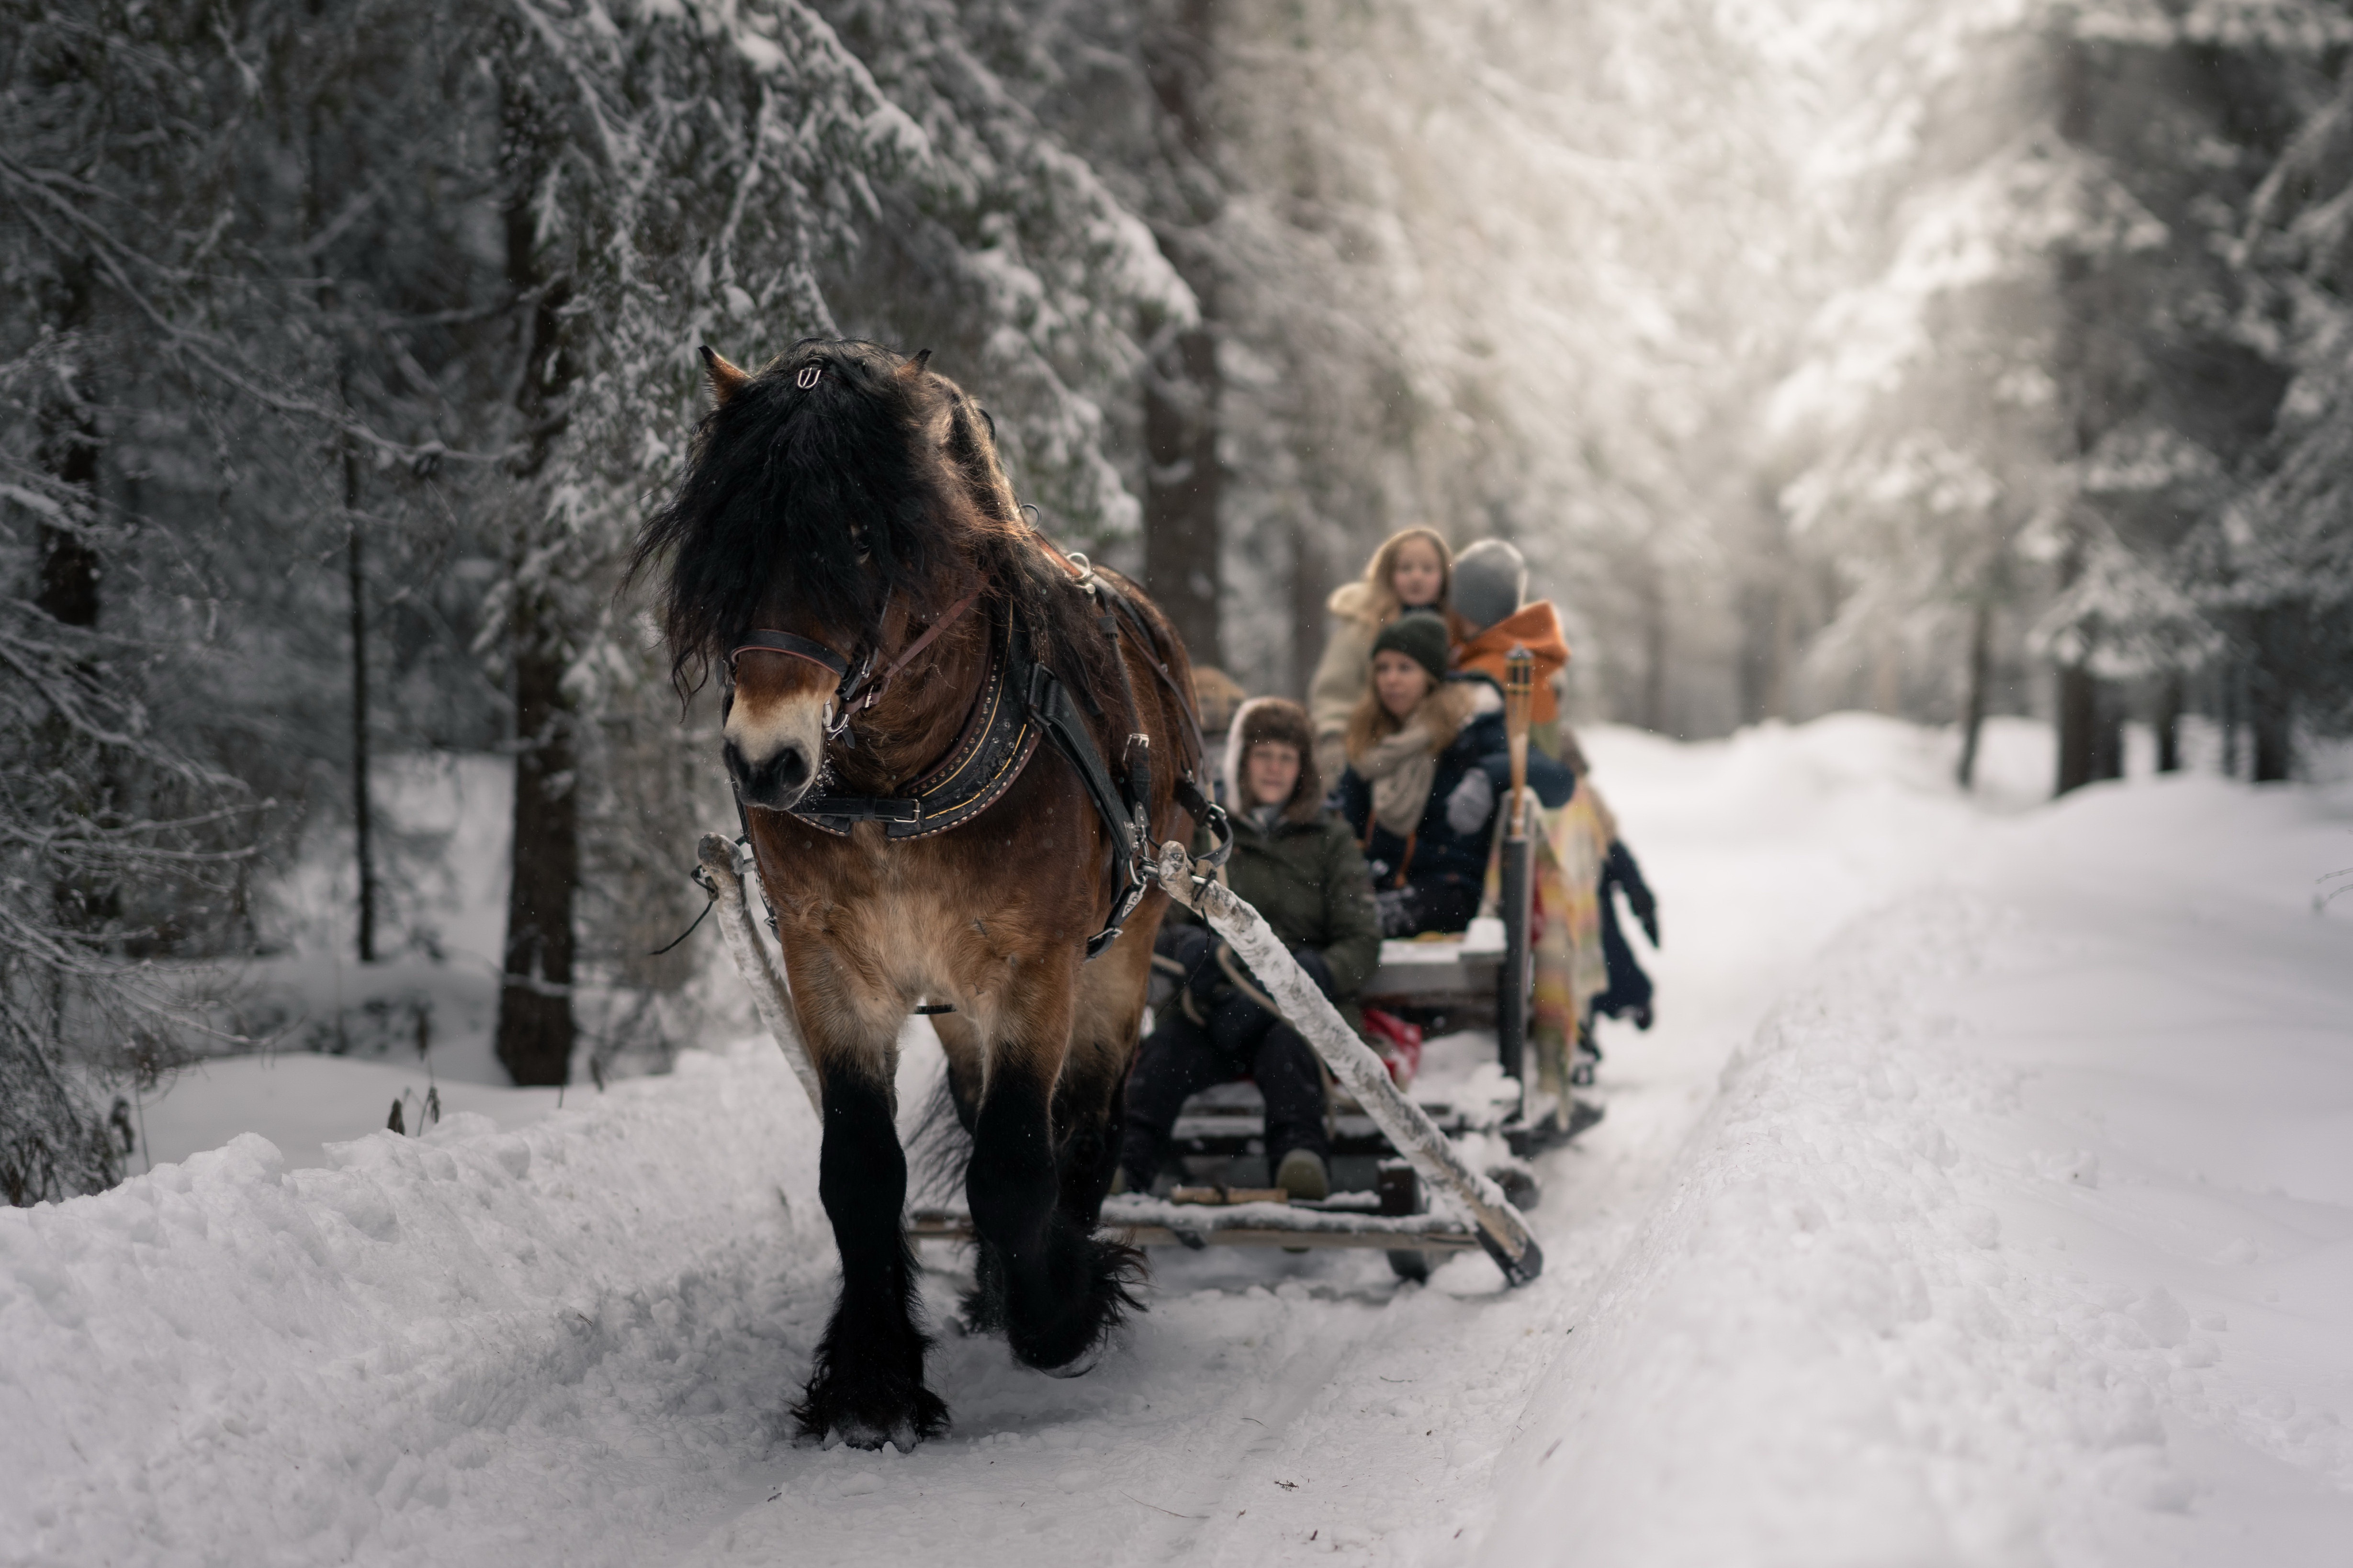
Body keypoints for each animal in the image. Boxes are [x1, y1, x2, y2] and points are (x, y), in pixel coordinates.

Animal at [626, 338, 1214, 1457]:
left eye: (859, 540)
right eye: (734, 537)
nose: (764, 761)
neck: (896, 785)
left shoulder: (1032, 966)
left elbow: (1015, 1168)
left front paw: (1059, 1308)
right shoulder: (833, 965)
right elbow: (860, 1170)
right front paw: (873, 1381)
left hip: (1123, 948)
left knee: (1086, 1120)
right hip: (950, 996)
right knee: (988, 1106)